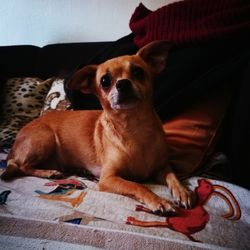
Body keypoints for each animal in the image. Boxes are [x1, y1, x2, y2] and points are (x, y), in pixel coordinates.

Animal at [0, 41, 194, 215]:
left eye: (138, 72)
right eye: (105, 81)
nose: (123, 83)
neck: (133, 127)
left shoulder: (162, 167)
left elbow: (173, 176)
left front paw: (183, 191)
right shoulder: (108, 178)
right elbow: (138, 185)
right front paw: (158, 201)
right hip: (45, 138)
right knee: (20, 165)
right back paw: (49, 173)